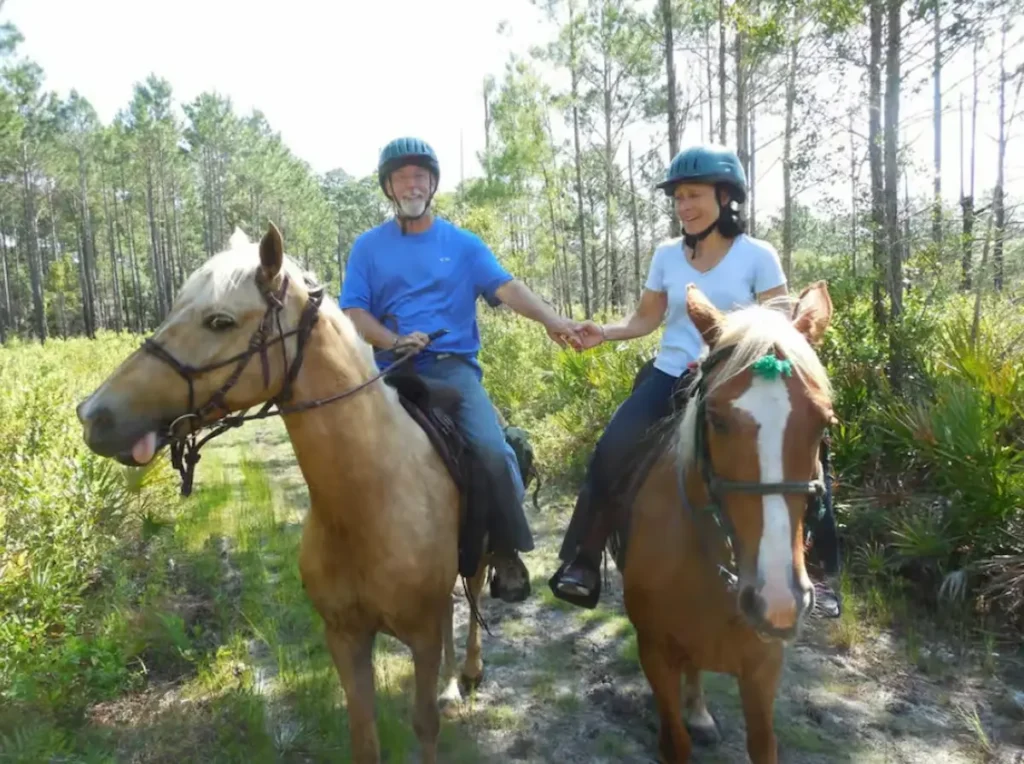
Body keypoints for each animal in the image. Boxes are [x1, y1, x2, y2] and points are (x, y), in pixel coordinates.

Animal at [75, 223, 491, 764]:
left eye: (220, 320)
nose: (92, 414)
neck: (369, 501)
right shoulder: (344, 636)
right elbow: (364, 735)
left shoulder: (417, 636)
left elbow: (424, 723)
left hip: (480, 554)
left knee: (474, 595)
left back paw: (466, 673)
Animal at [618, 281, 834, 763]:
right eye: (715, 419)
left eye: (824, 422)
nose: (778, 600)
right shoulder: (654, 652)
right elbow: (675, 742)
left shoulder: (763, 668)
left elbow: (763, 744)